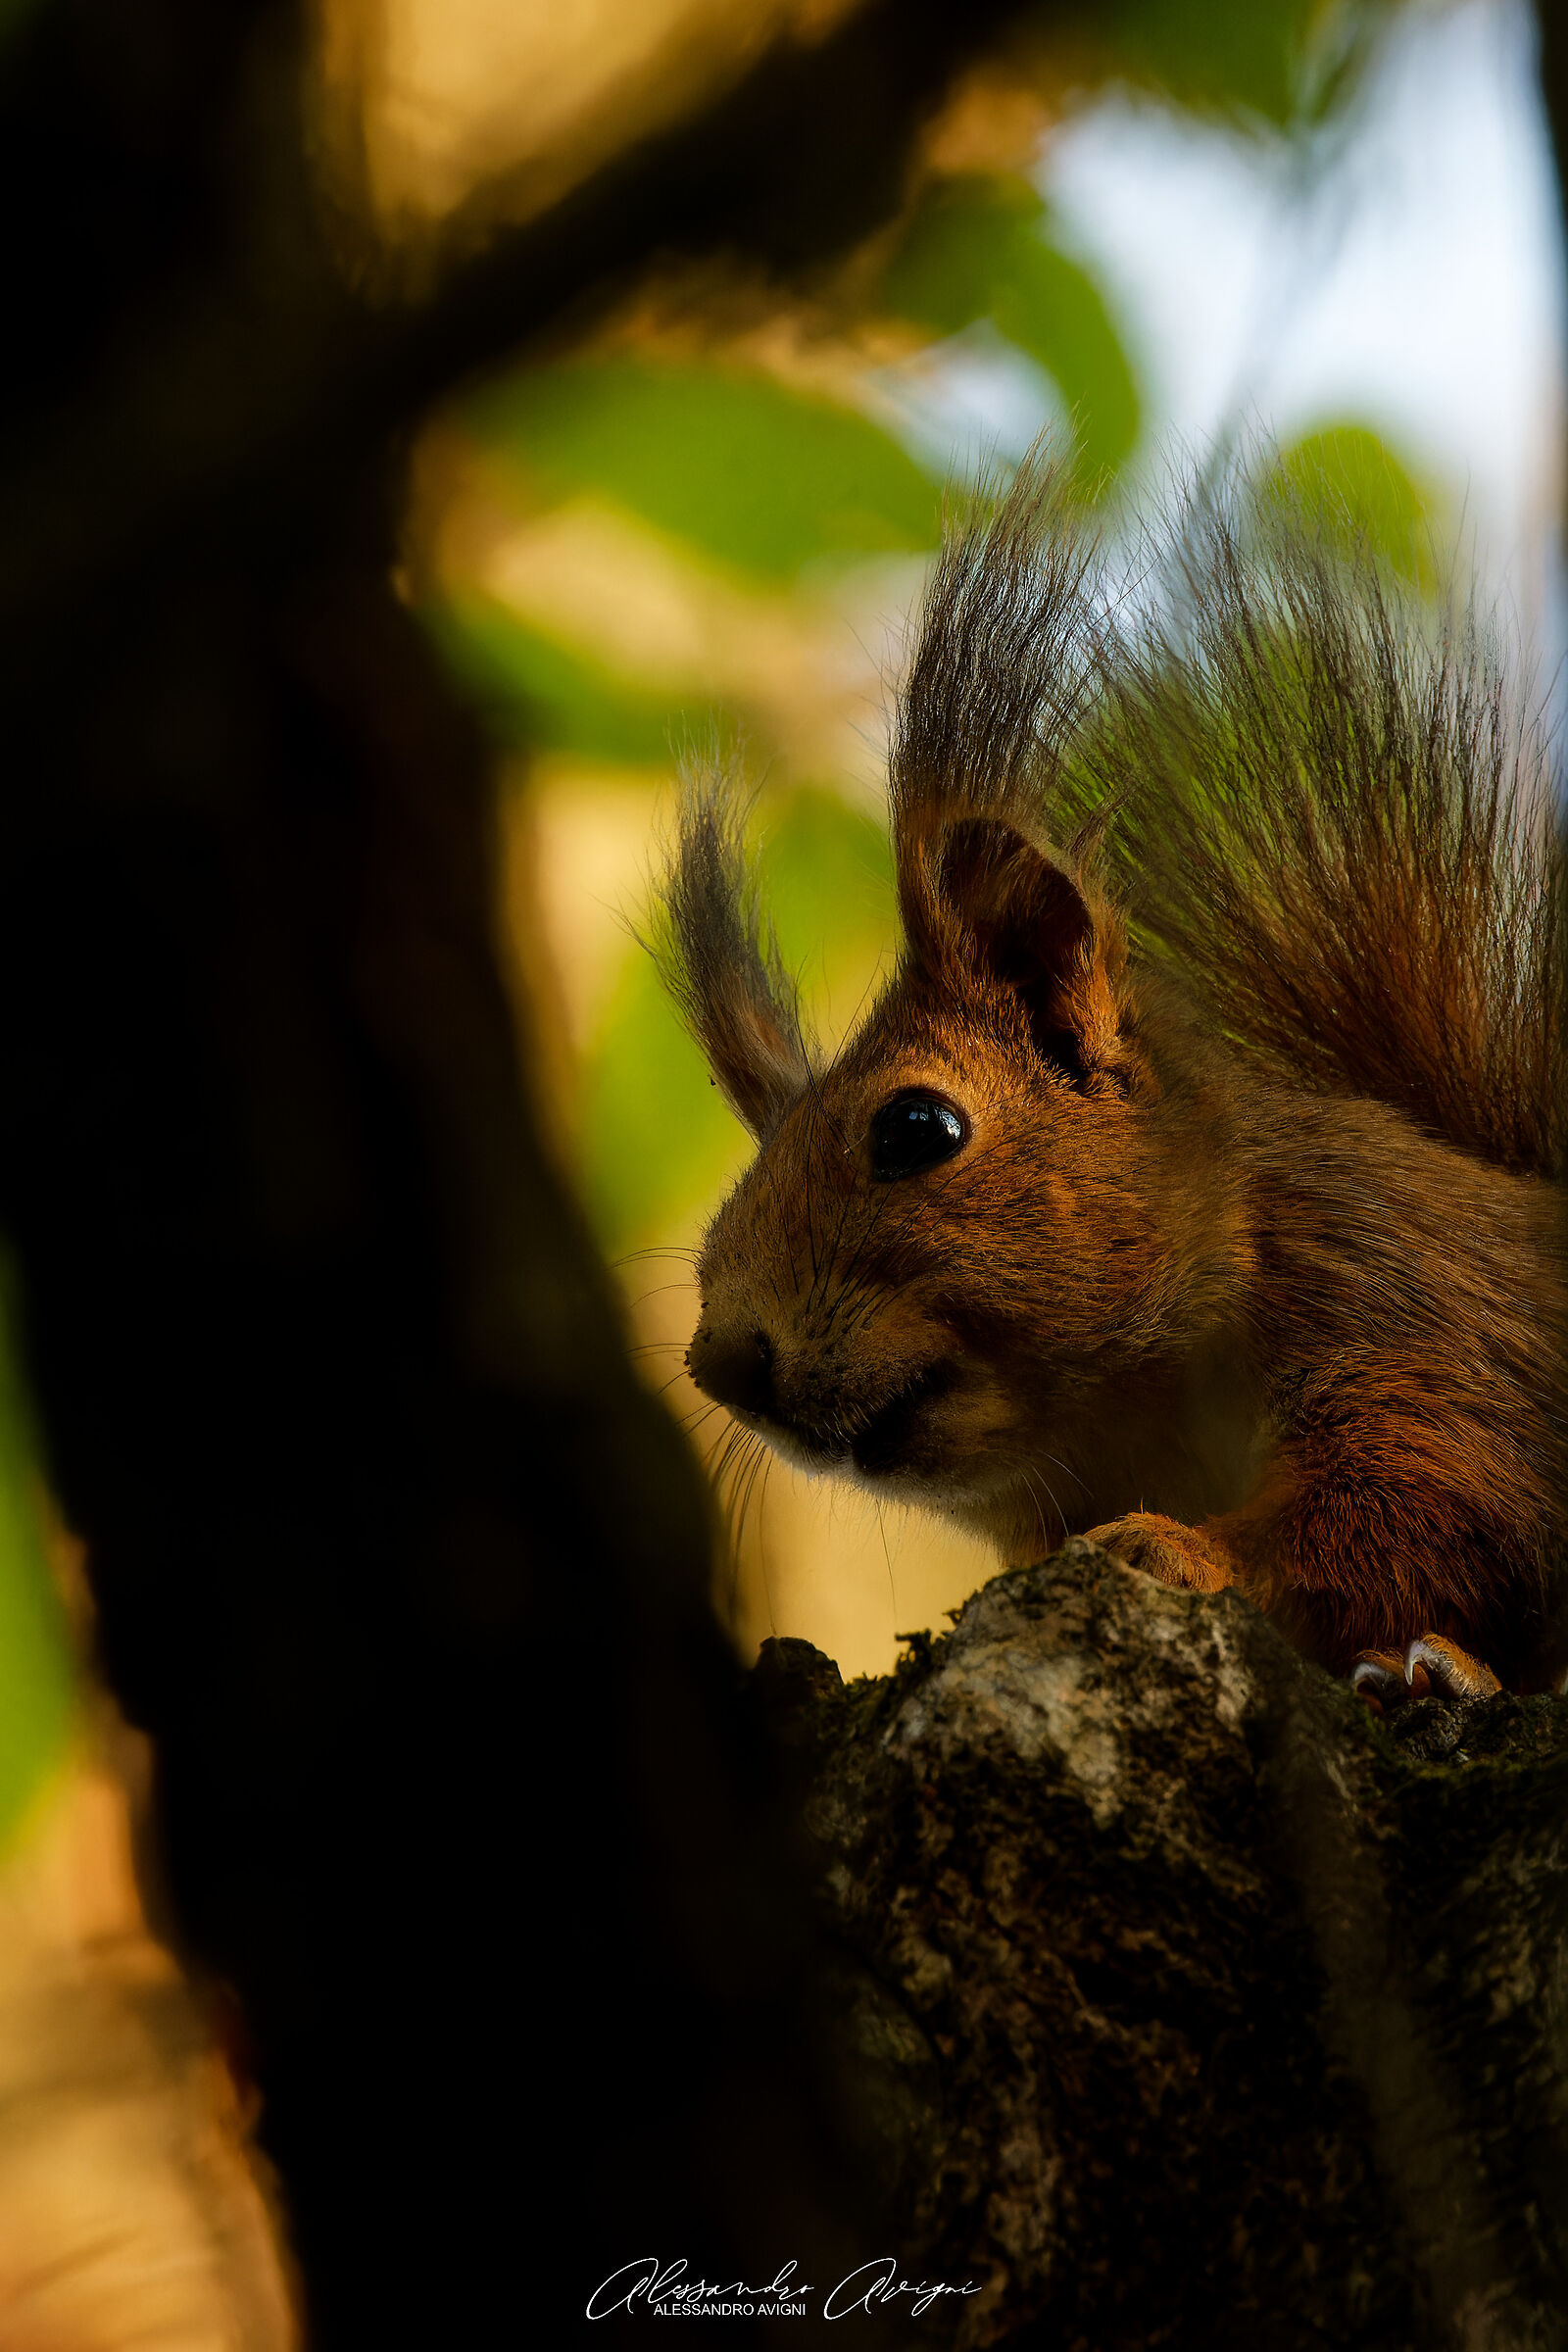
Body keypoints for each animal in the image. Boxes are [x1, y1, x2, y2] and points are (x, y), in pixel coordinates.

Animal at [655, 458, 1568, 1705]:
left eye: (916, 1129)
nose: (721, 1363)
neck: (1141, 1412)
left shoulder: (1417, 1317)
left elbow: (1414, 1514)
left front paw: (1171, 1546)